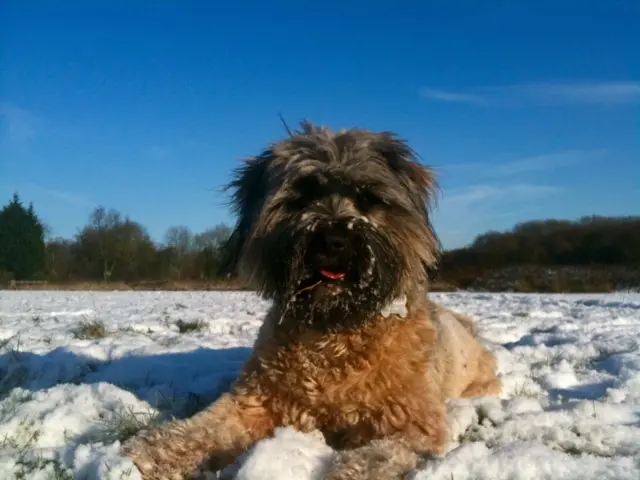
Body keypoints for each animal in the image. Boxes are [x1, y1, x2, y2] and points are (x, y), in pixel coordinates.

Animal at [122, 122, 502, 478]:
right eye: (301, 197)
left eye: (369, 197)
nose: (333, 241)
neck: (334, 331)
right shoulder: (256, 399)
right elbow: (206, 427)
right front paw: (152, 450)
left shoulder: (408, 426)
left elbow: (371, 460)